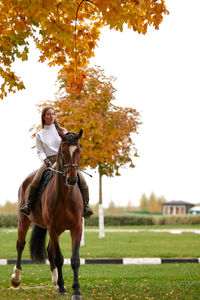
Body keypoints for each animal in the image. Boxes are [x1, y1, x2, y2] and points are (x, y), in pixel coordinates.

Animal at [10, 130, 84, 298]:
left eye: (78, 150)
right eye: (63, 151)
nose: (71, 178)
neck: (66, 196)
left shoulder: (76, 227)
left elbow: (74, 259)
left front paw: (76, 290)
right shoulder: (53, 228)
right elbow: (59, 258)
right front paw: (63, 289)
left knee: (50, 250)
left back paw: (56, 283)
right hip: (24, 221)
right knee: (20, 245)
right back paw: (16, 278)